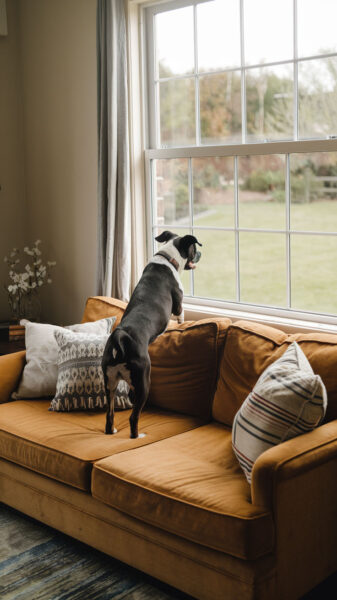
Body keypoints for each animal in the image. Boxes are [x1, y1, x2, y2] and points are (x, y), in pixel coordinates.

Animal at [101, 232, 201, 438]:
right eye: (194, 249)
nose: (200, 254)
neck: (168, 258)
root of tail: (119, 338)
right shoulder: (178, 303)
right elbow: (180, 315)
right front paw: (181, 324)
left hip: (110, 383)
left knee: (109, 415)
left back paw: (111, 430)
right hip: (143, 382)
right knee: (133, 417)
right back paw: (137, 436)